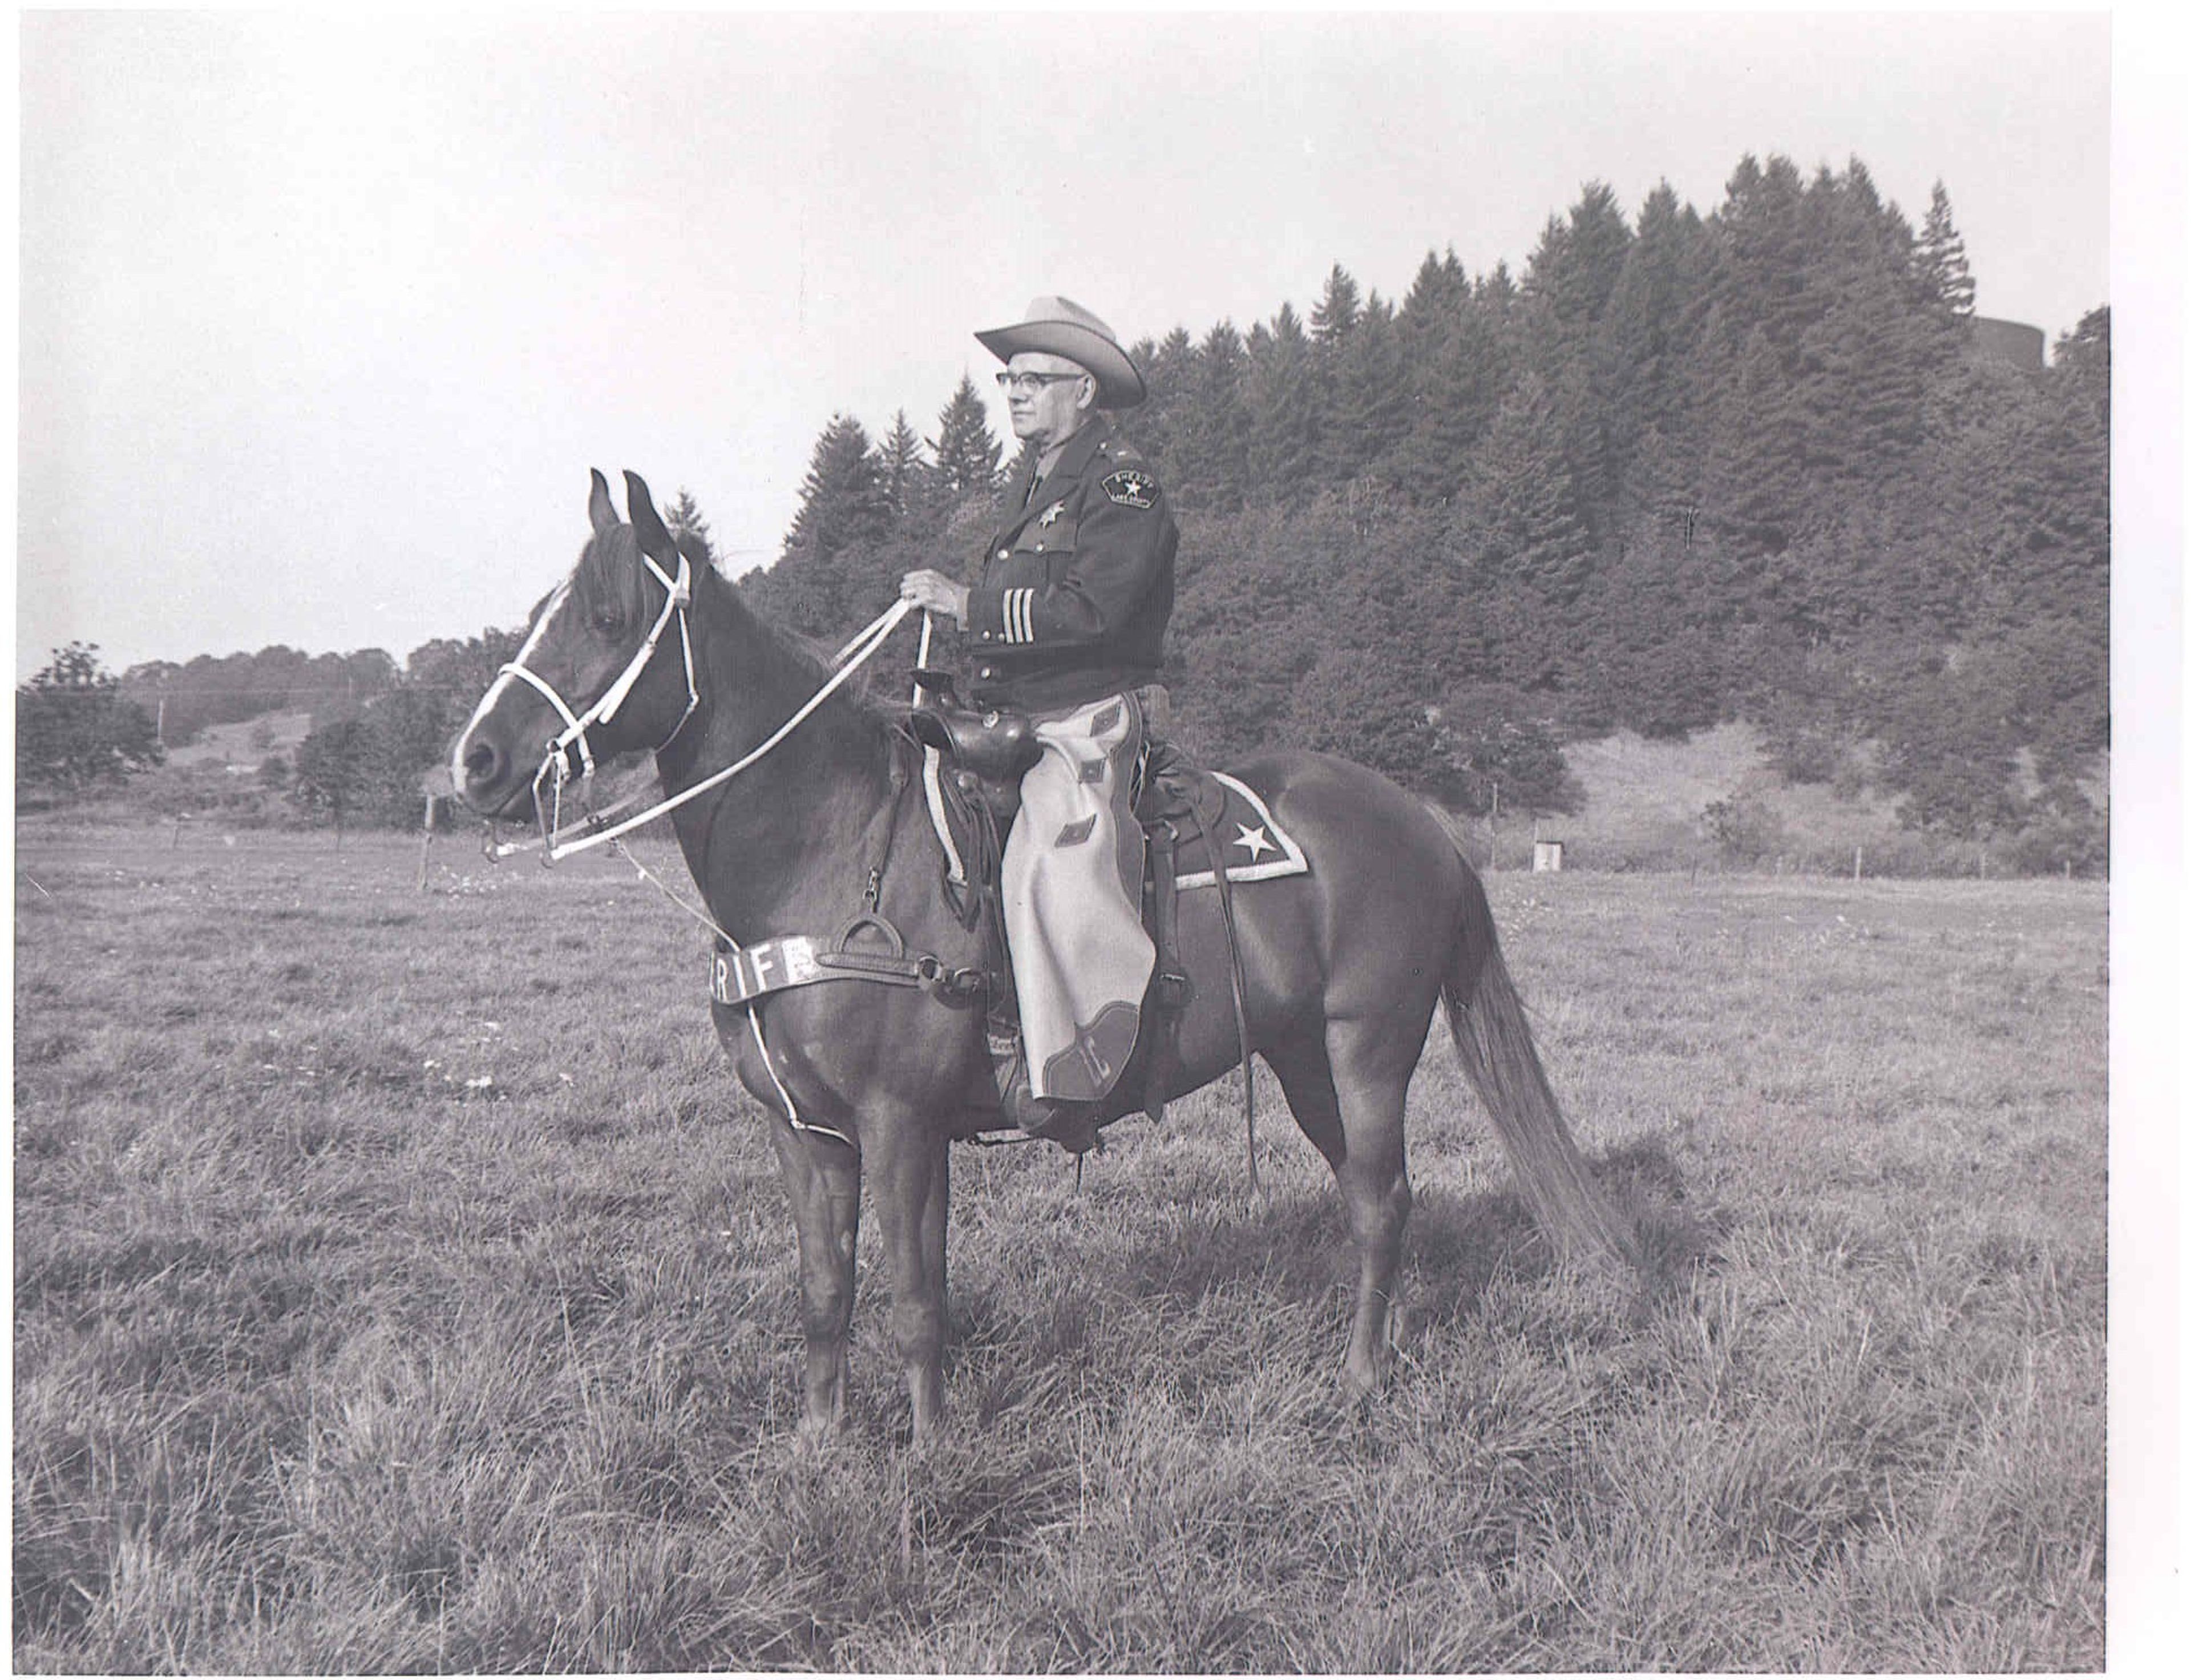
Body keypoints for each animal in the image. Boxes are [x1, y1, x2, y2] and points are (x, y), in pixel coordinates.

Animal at [453, 473, 1639, 1445]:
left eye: (608, 617)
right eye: (546, 608)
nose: (477, 758)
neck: (832, 850)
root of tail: (1425, 824)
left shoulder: (897, 1121)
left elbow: (913, 1297)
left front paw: (930, 1455)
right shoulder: (811, 1132)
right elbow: (830, 1291)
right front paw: (822, 1443)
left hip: (1369, 1050)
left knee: (1385, 1202)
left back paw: (1360, 1379)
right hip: (1305, 1057)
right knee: (1366, 1196)